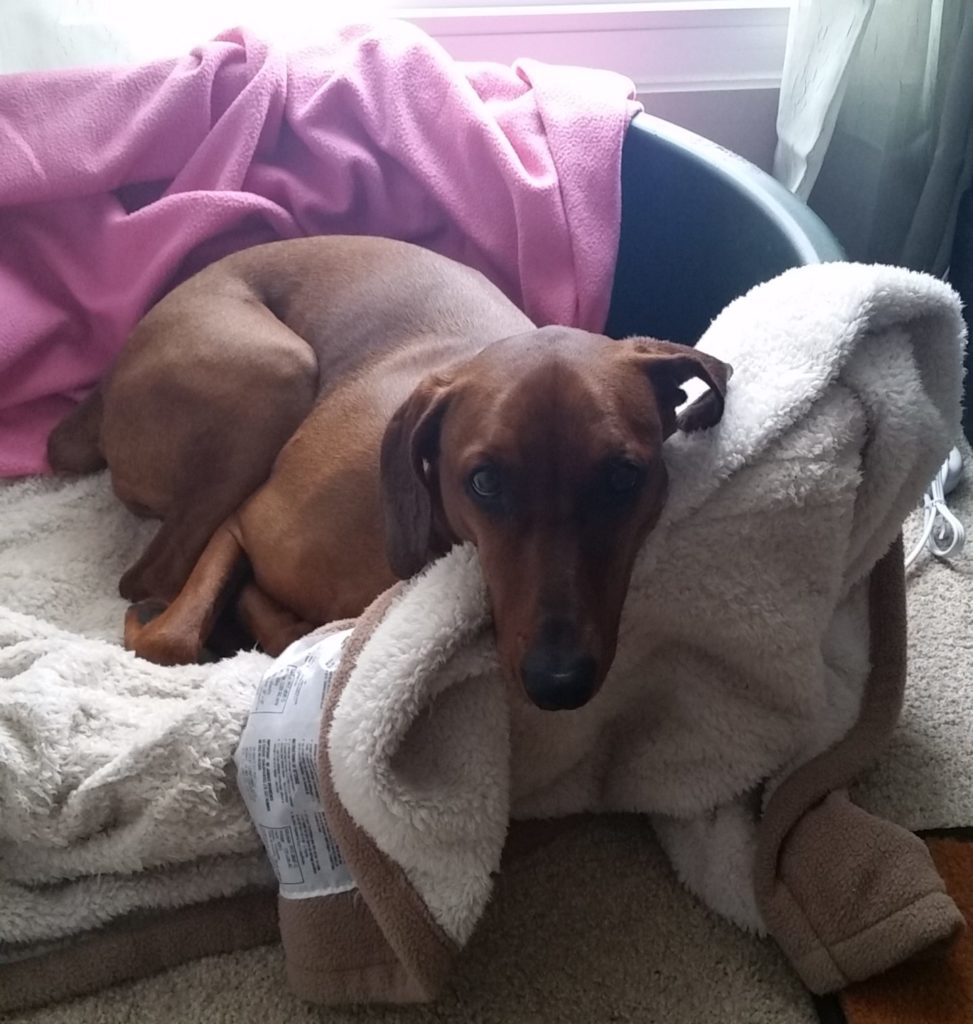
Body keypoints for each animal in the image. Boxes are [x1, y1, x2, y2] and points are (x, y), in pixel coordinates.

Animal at [47, 234, 729, 708]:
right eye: (485, 483)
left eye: (622, 478)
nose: (557, 681)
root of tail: (100, 395)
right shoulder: (244, 524)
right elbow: (171, 638)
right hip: (277, 371)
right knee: (148, 576)